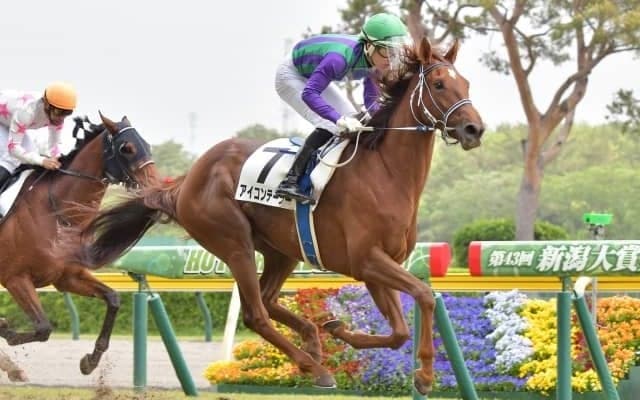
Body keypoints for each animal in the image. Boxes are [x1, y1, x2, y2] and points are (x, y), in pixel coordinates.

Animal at [0, 113, 157, 376]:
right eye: (127, 148)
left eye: (148, 144)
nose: (156, 183)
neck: (56, 213)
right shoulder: (15, 278)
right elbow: (43, 328)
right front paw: (7, 332)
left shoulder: (67, 276)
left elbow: (113, 299)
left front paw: (91, 361)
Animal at [64, 37, 484, 394]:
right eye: (440, 84)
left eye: (466, 82)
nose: (474, 128)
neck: (384, 173)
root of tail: (185, 182)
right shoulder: (367, 259)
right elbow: (425, 295)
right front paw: (425, 375)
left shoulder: (377, 265)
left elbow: (399, 330)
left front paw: (339, 330)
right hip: (233, 242)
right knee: (255, 313)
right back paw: (314, 366)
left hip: (282, 250)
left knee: (267, 300)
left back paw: (313, 341)